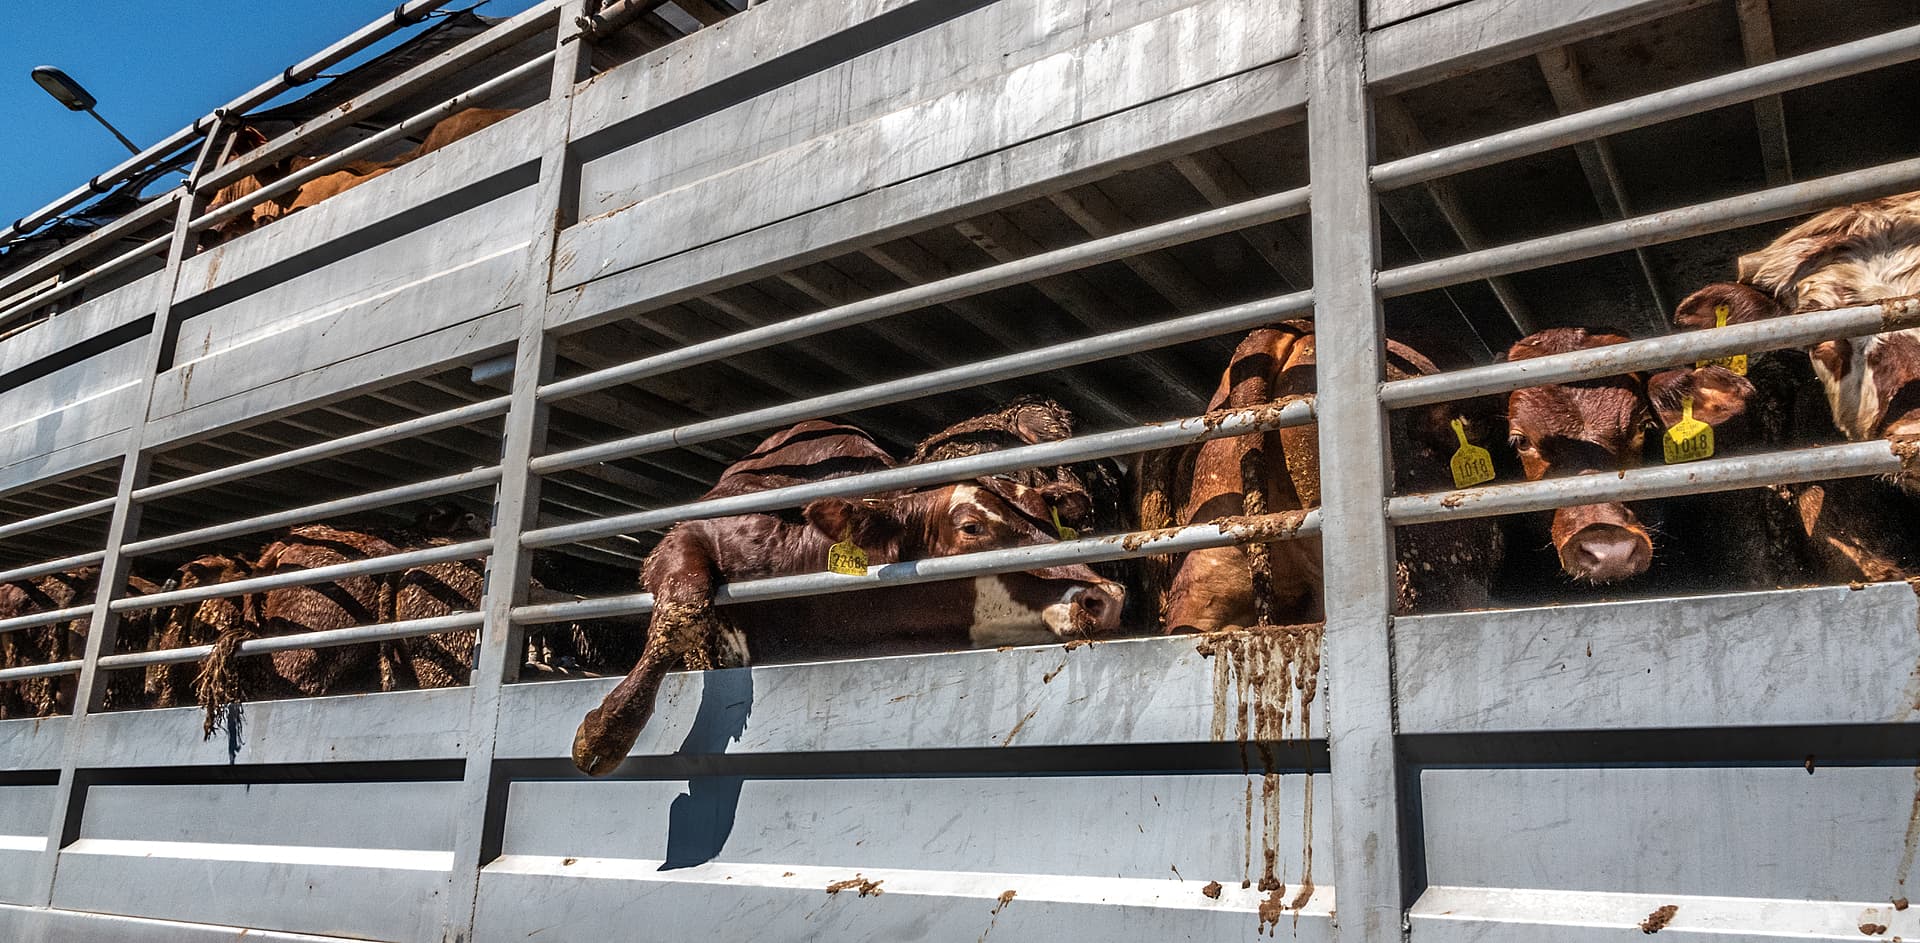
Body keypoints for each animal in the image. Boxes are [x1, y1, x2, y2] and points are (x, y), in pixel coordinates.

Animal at [576, 420, 1128, 775]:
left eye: (1053, 526)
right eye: (971, 526)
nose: (1107, 598)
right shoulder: (686, 536)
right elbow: (684, 606)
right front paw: (606, 729)